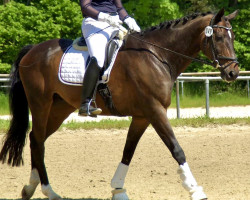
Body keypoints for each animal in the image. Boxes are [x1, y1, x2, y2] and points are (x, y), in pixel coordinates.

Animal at [0, 8, 238, 199]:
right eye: (218, 36)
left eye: (232, 36)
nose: (233, 72)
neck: (157, 55)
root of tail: (32, 50)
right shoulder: (155, 110)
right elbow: (176, 149)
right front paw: (195, 190)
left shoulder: (142, 116)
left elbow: (128, 151)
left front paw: (118, 189)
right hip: (40, 104)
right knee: (38, 140)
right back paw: (48, 190)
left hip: (60, 108)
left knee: (35, 139)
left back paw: (31, 187)